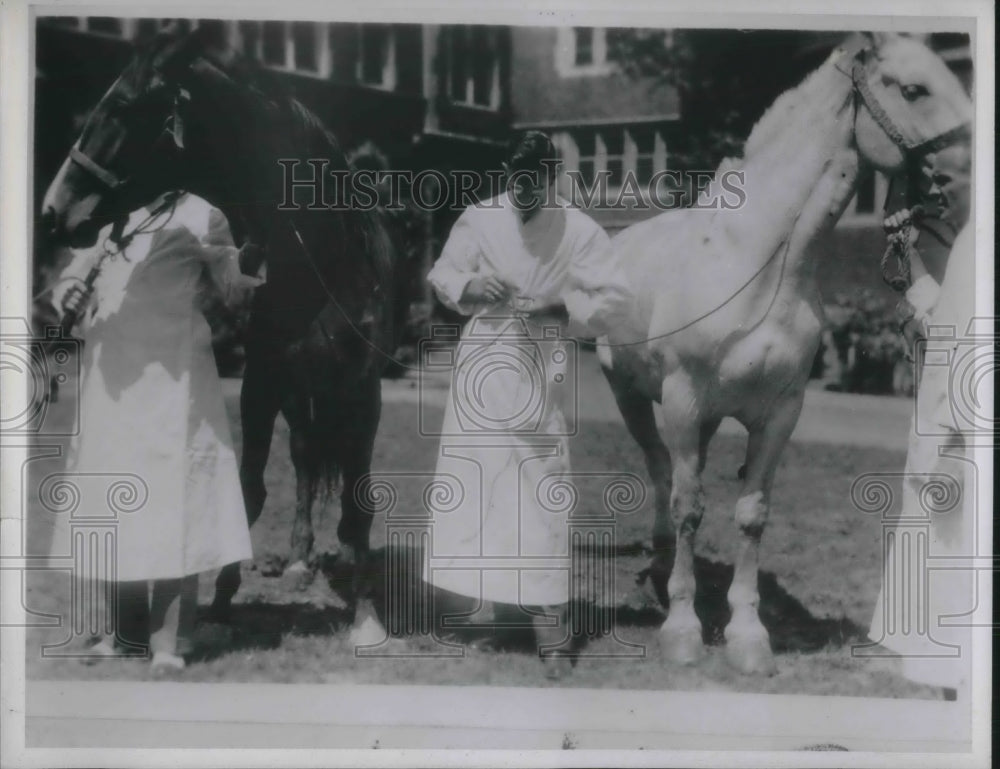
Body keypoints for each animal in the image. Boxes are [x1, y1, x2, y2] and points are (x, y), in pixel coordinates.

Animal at [39, 25, 406, 632]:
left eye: (123, 106)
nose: (52, 212)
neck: (321, 262)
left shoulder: (362, 393)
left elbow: (358, 505)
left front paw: (366, 618)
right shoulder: (263, 383)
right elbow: (252, 487)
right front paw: (221, 597)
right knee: (304, 458)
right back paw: (299, 558)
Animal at [596, 34, 972, 672]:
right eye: (914, 88)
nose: (967, 183)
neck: (761, 265)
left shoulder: (781, 412)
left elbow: (751, 515)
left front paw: (747, 635)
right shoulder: (682, 399)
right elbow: (689, 505)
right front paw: (682, 630)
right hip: (633, 397)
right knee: (661, 471)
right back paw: (661, 566)